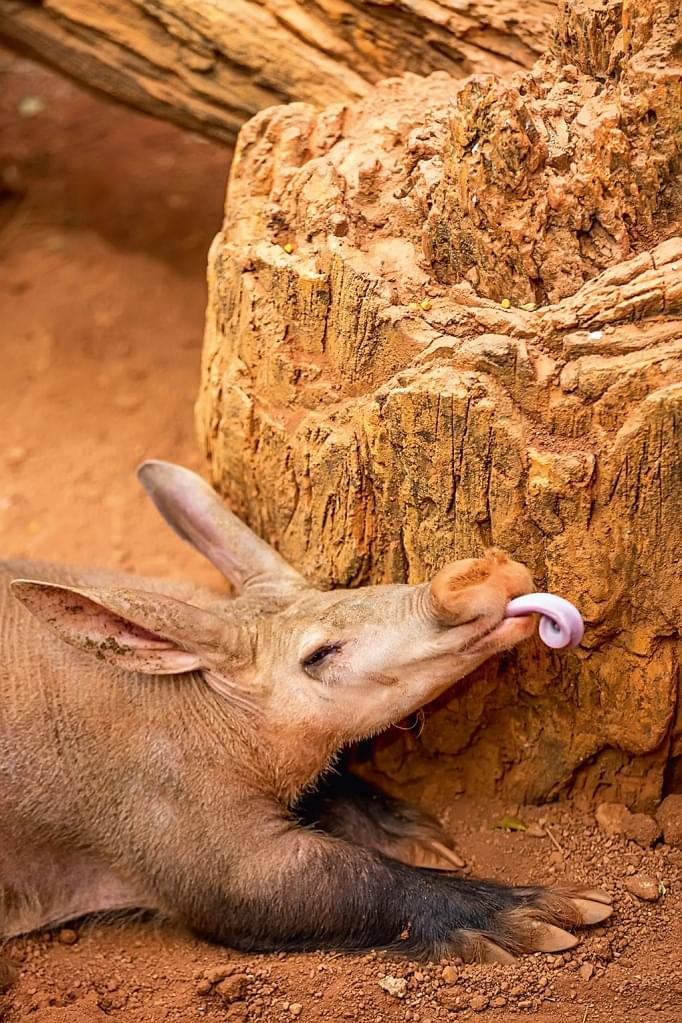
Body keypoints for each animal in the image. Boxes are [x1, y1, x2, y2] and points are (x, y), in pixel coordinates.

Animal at [0, 460, 611, 962]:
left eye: (333, 588)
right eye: (319, 655)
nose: (484, 576)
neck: (206, 700)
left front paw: (408, 832)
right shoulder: (160, 805)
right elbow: (307, 883)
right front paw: (528, 911)